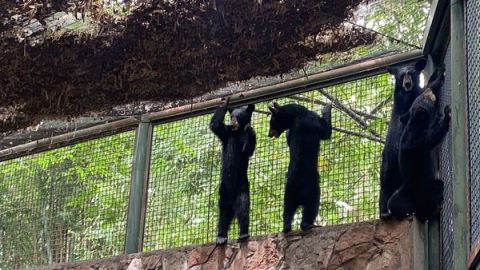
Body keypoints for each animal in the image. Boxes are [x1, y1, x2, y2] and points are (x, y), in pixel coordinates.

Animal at [209, 97, 256, 245]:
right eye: (232, 116)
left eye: (239, 116)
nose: (233, 121)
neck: (237, 132)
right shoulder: (226, 133)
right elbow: (215, 126)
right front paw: (225, 103)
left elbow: (248, 149)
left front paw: (249, 129)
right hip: (223, 189)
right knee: (223, 211)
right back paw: (221, 236)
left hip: (242, 185)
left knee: (243, 207)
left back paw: (243, 233)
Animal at [268, 101, 332, 232]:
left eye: (272, 121)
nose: (269, 134)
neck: (298, 114)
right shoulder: (314, 120)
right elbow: (326, 132)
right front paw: (327, 107)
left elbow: (289, 137)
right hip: (311, 190)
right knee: (311, 206)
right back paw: (309, 225)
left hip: (288, 193)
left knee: (287, 210)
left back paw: (286, 227)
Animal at [380, 58, 426, 218]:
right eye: (401, 76)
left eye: (411, 73)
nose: (407, 82)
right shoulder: (403, 101)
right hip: (389, 161)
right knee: (385, 183)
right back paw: (384, 211)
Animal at [386, 69, 450, 221]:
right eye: (423, 98)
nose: (428, 91)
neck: (417, 121)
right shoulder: (414, 138)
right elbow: (429, 140)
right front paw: (446, 117)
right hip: (420, 190)